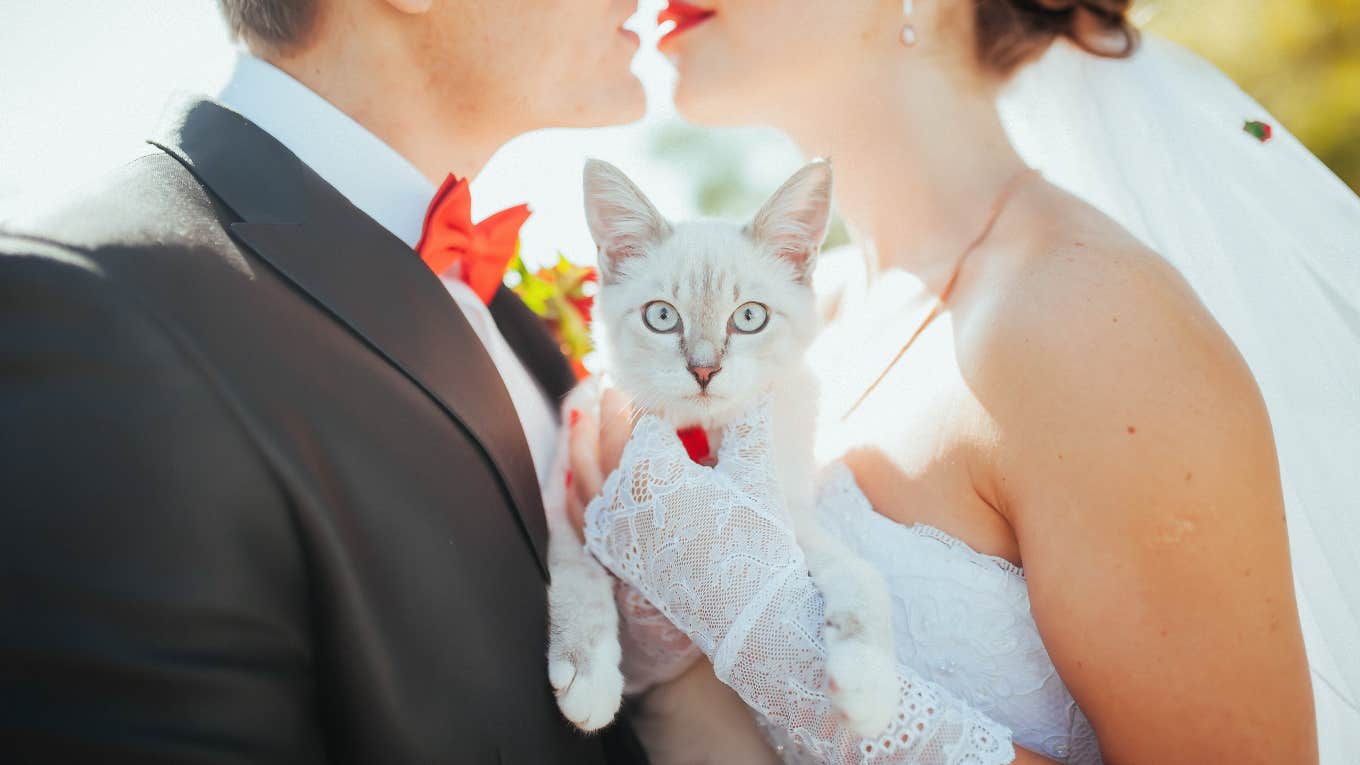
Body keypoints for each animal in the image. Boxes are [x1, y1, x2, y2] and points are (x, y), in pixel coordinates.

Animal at [541, 157, 903, 735]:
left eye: (750, 317)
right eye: (662, 317)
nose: (705, 370)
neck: (702, 442)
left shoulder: (782, 520)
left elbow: (860, 576)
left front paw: (868, 687)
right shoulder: (565, 497)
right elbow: (578, 574)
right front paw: (588, 674)